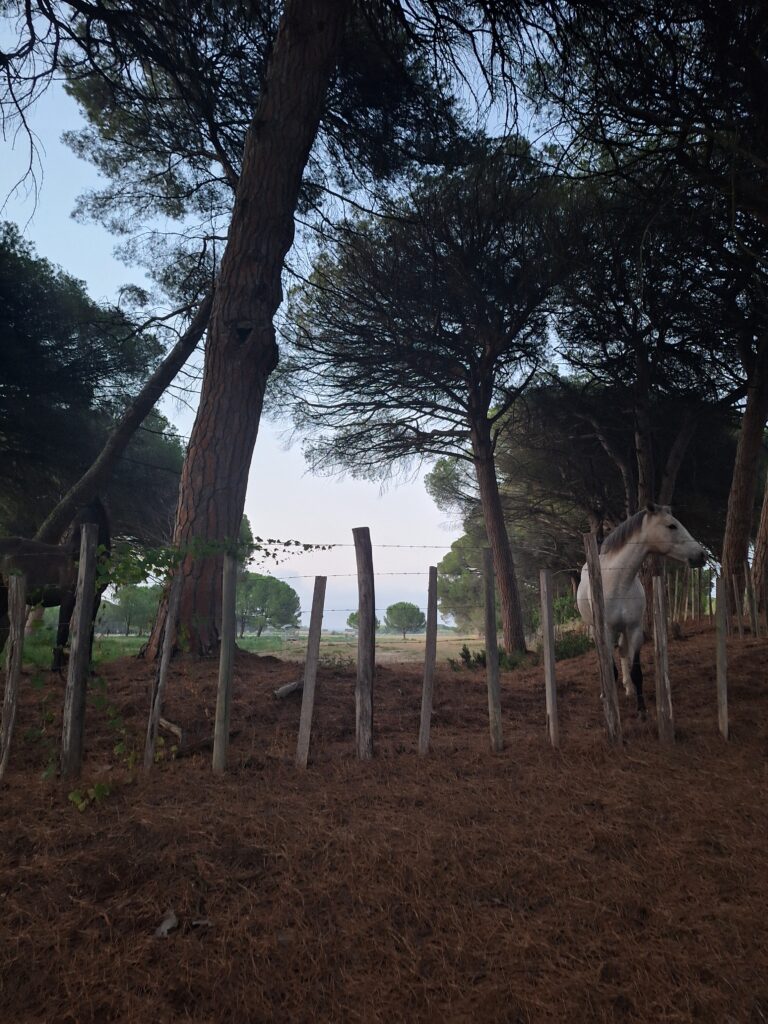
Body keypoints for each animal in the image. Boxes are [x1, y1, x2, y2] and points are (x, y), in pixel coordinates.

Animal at [577, 501, 708, 712]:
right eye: (671, 526)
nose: (701, 555)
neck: (618, 582)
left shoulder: (635, 629)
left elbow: (636, 671)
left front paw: (641, 709)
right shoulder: (606, 631)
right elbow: (610, 669)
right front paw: (613, 704)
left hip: (623, 630)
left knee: (623, 651)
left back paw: (628, 688)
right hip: (595, 629)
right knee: (603, 659)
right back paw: (605, 692)